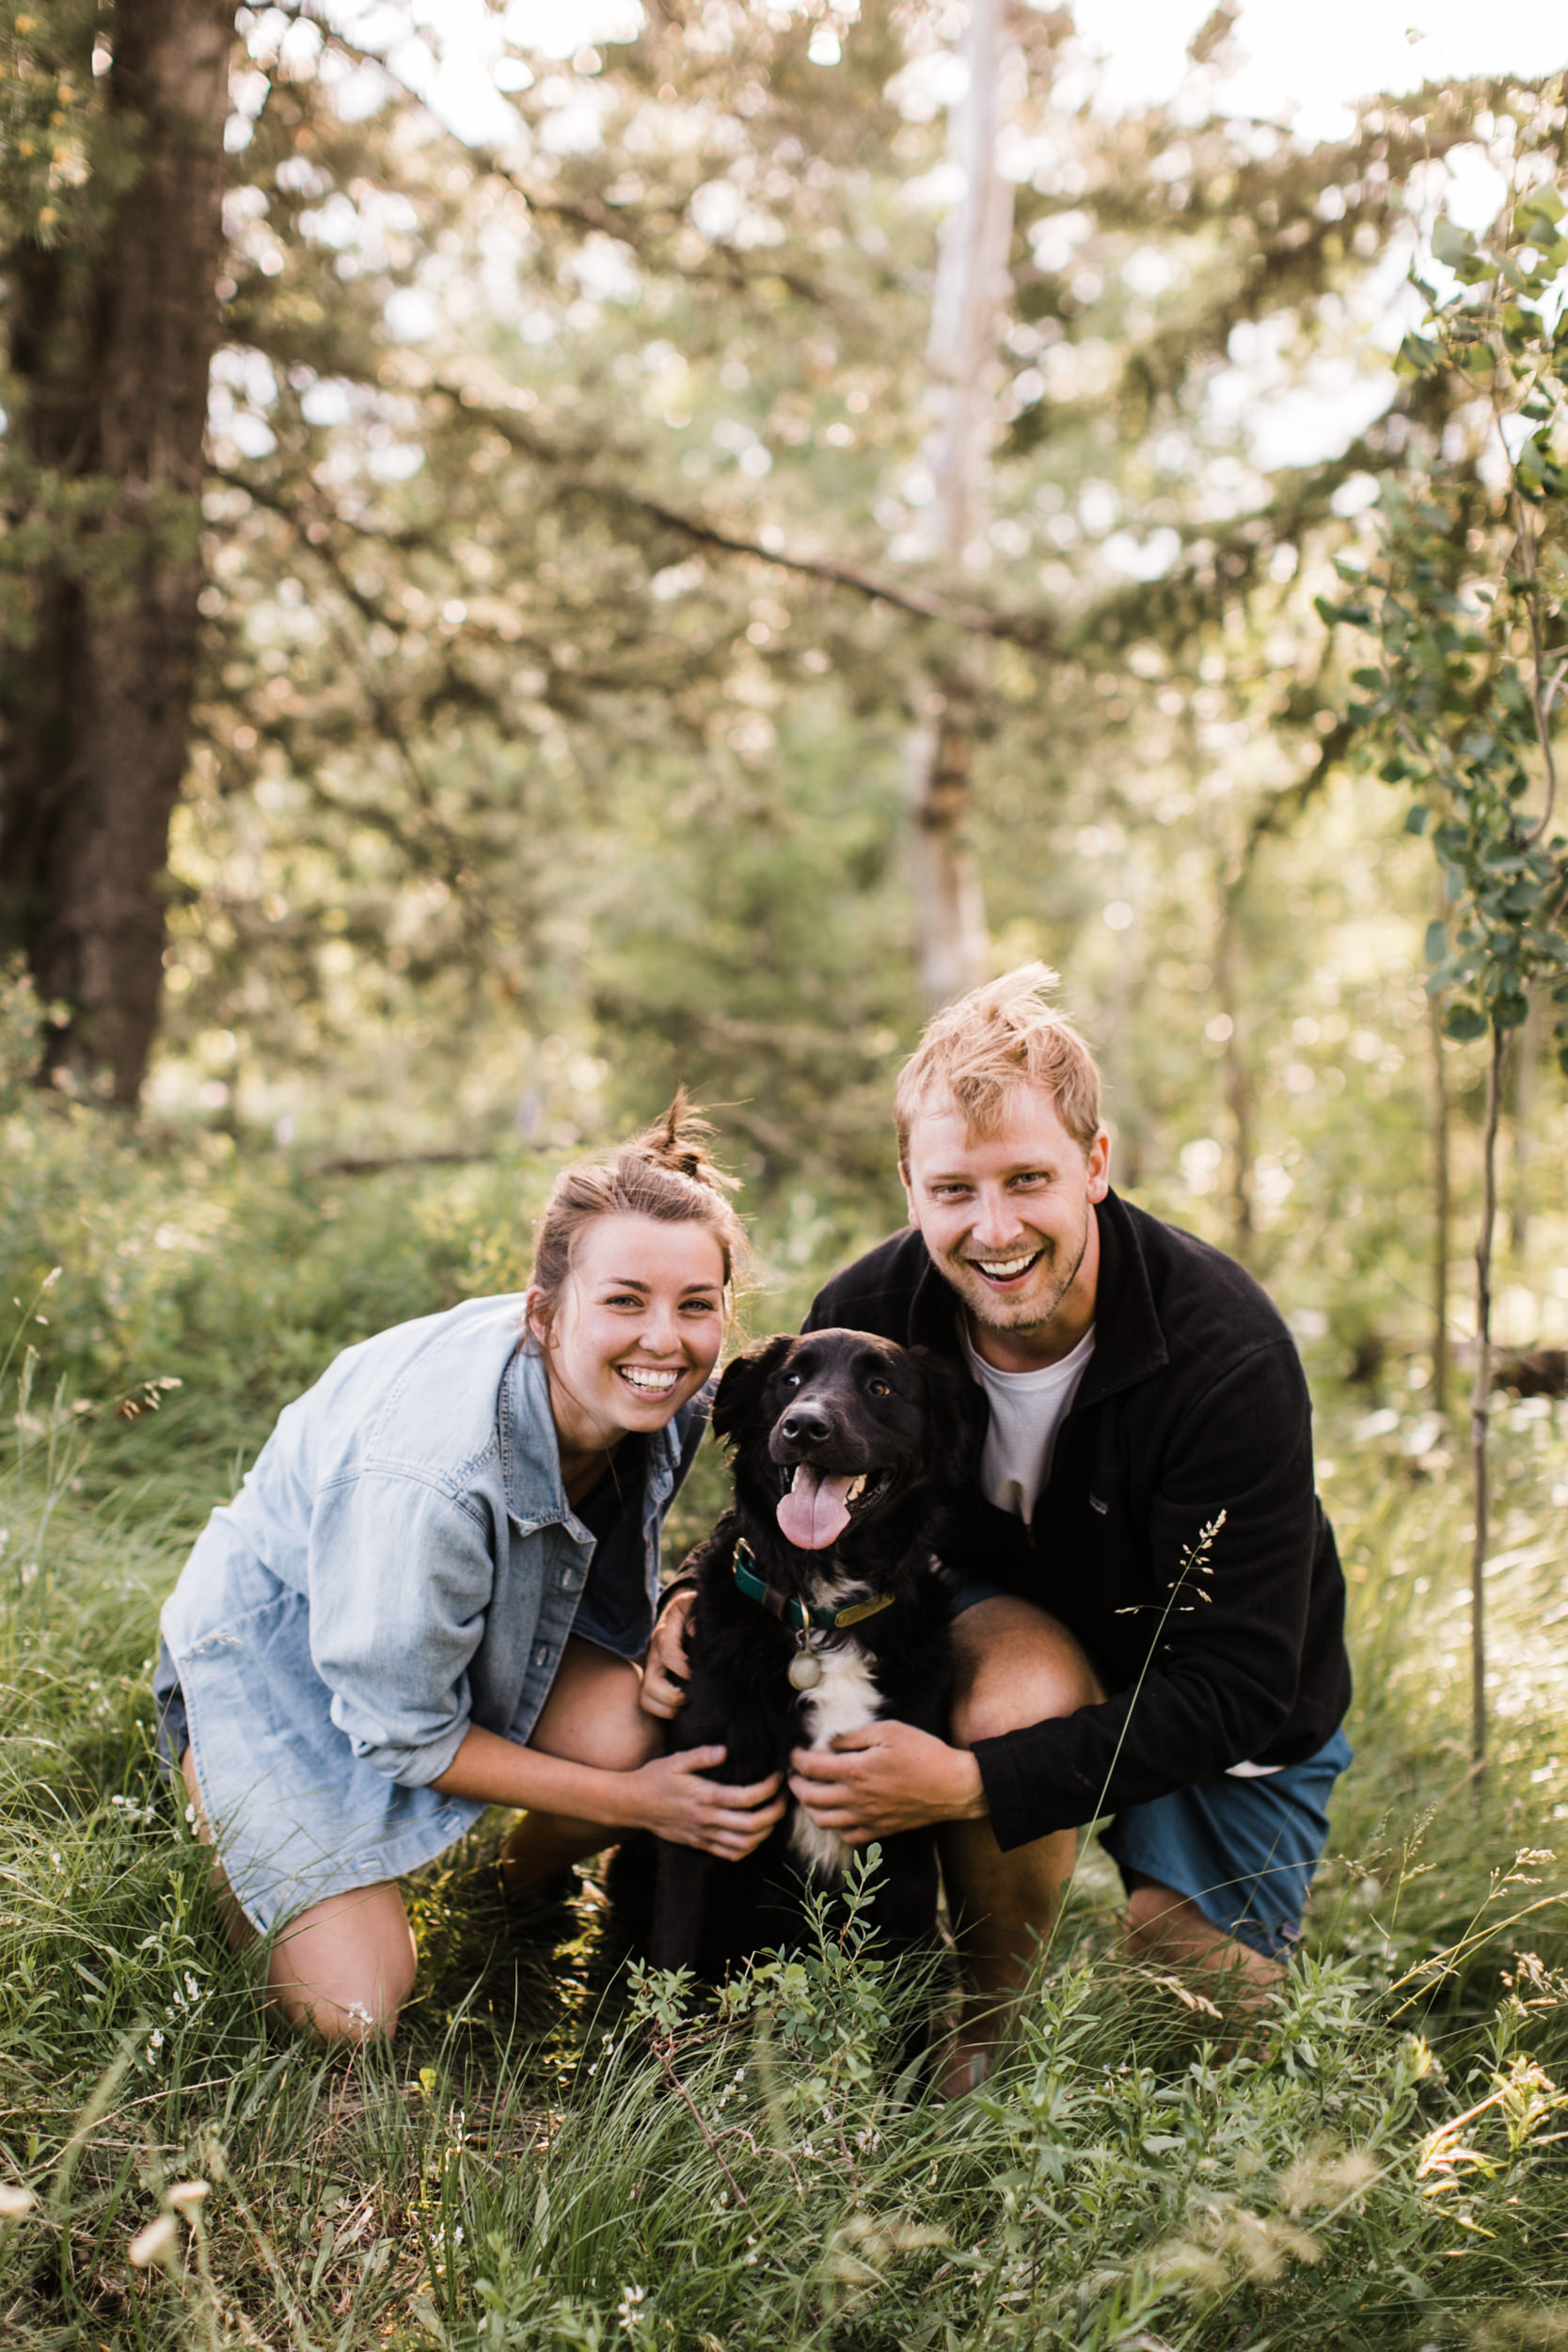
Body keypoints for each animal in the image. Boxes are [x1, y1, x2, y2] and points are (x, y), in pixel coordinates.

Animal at [643, 1336, 973, 1976]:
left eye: (880, 1387)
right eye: (790, 1380)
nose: (804, 1427)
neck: (818, 1614)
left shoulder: (904, 1835)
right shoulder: (699, 1809)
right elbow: (671, 1953)